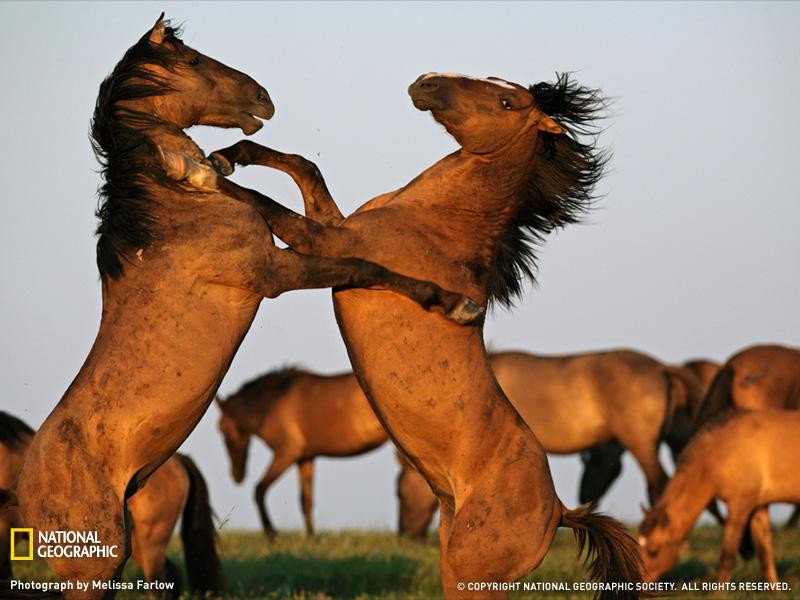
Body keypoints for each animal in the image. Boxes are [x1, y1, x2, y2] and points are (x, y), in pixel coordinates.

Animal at [214, 368, 386, 536]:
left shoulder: (286, 454)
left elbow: (259, 490)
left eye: (222, 430)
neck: (274, 401)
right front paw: (312, 538)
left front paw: (271, 533)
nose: (237, 476)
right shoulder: (305, 458)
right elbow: (306, 501)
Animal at [640, 410, 800, 584]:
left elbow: (727, 556)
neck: (722, 446)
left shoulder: (740, 505)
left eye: (653, 551)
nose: (638, 581)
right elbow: (765, 554)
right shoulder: (758, 507)